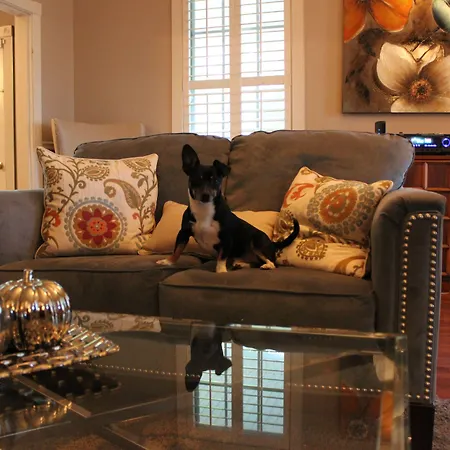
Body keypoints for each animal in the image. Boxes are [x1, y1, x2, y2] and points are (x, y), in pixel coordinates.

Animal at [156, 144, 299, 273]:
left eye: (216, 181)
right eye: (197, 179)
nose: (205, 195)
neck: (205, 209)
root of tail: (272, 243)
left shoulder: (226, 239)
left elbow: (221, 258)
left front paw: (221, 271)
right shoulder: (183, 233)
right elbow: (177, 249)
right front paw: (168, 261)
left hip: (257, 242)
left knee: (271, 262)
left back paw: (267, 265)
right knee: (254, 263)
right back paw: (241, 264)